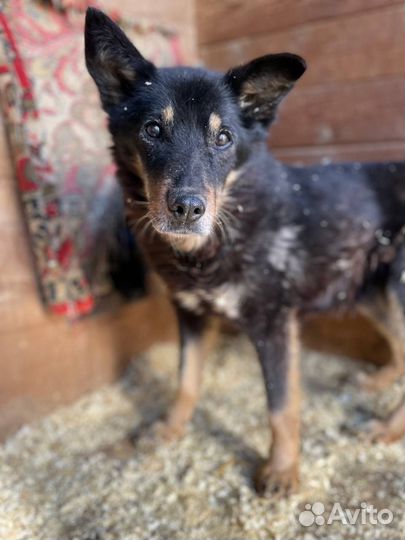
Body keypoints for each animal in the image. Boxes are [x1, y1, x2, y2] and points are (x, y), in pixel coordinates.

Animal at [83, 8, 404, 496]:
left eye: (223, 138)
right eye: (152, 129)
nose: (187, 208)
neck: (213, 241)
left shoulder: (274, 325)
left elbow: (280, 406)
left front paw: (282, 471)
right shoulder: (191, 315)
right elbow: (186, 381)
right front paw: (169, 429)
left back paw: (386, 427)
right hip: (373, 291)